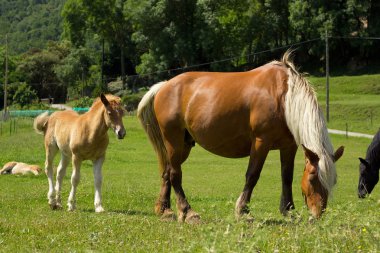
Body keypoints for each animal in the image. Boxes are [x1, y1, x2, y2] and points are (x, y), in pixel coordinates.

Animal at [137, 51, 344, 221]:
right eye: (312, 178)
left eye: (333, 181)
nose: (317, 214)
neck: (284, 97)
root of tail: (164, 86)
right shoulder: (261, 142)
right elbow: (252, 175)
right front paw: (243, 211)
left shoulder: (288, 146)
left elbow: (287, 177)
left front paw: (289, 210)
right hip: (173, 141)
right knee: (175, 174)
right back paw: (188, 212)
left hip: (184, 144)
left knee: (167, 172)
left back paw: (165, 210)